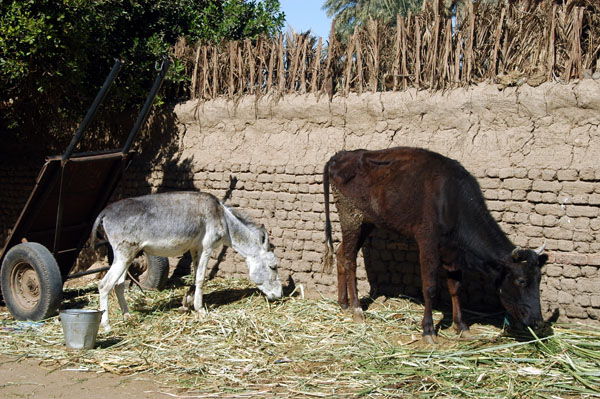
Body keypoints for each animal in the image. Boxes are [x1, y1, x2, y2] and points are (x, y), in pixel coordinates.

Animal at [324, 147, 548, 344]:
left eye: (539, 279)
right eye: (521, 281)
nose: (538, 322)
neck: (452, 200)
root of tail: (341, 155)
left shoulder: (453, 252)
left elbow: (456, 287)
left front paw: (462, 327)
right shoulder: (427, 241)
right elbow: (430, 287)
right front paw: (428, 330)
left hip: (367, 221)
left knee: (341, 253)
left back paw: (343, 303)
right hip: (351, 216)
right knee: (350, 259)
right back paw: (357, 310)